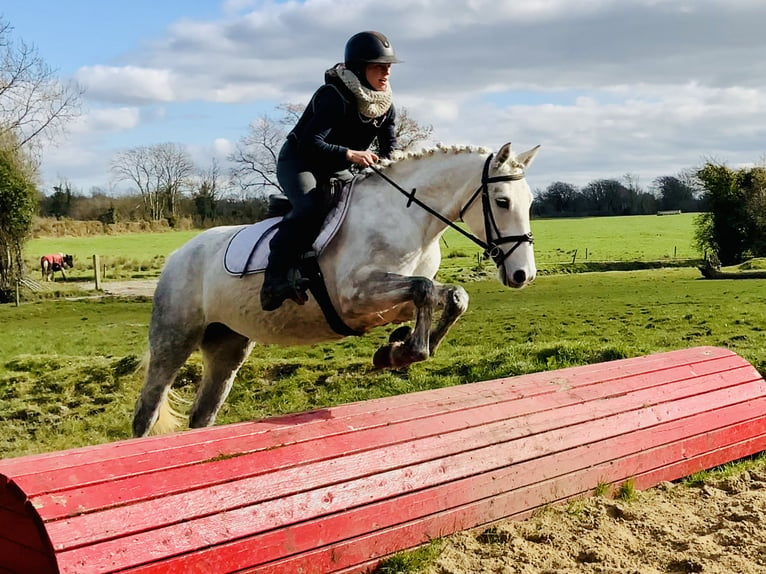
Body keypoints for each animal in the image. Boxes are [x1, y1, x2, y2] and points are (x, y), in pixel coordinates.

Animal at [134, 143, 540, 436]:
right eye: (502, 201)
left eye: (531, 202)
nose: (523, 275)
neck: (409, 217)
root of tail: (178, 254)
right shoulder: (354, 297)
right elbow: (424, 288)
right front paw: (406, 350)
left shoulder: (389, 301)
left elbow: (452, 296)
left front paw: (397, 348)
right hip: (175, 338)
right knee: (147, 411)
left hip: (227, 345)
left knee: (202, 414)